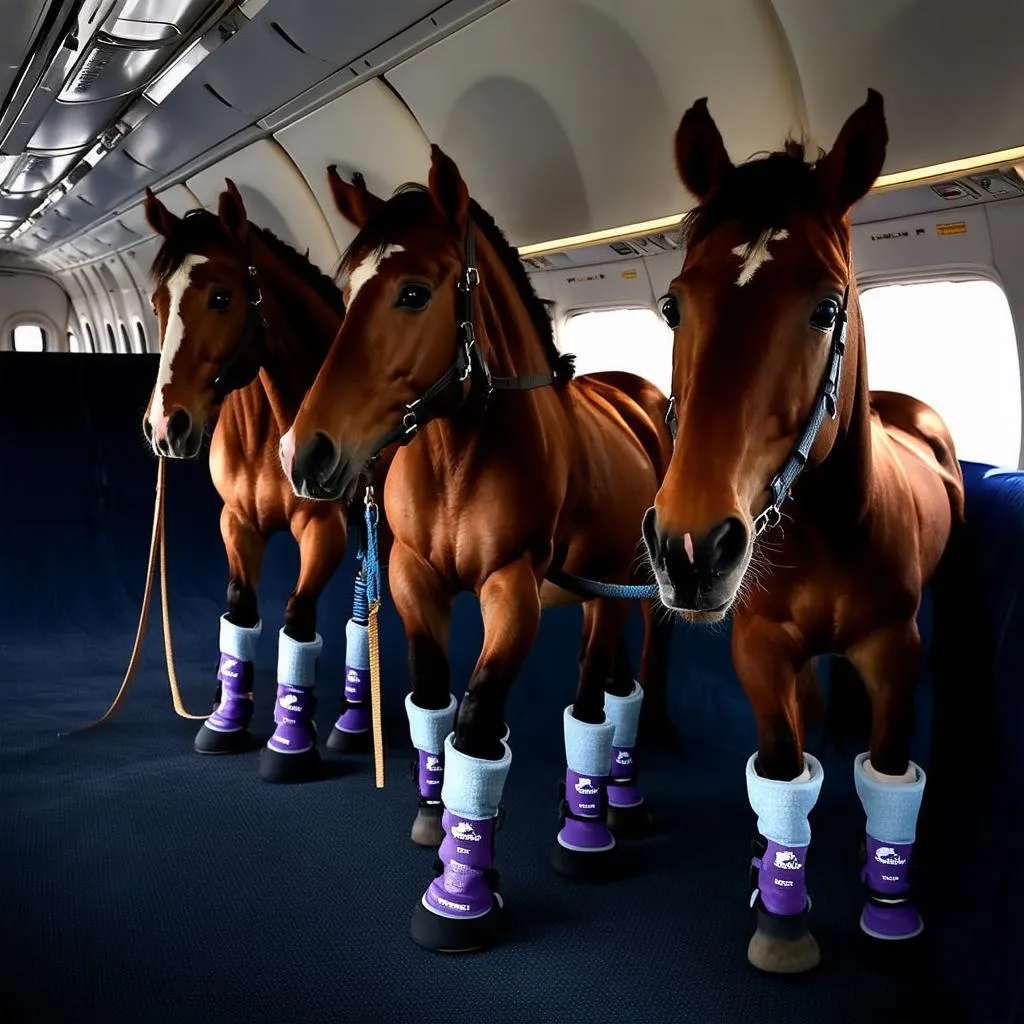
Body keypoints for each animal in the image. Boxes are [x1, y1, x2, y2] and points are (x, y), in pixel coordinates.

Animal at [140, 176, 387, 782]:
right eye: (158, 302)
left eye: (221, 297)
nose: (165, 426)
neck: (266, 428)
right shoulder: (237, 524)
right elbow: (240, 610)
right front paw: (226, 719)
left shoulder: (323, 529)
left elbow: (297, 618)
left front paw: (290, 740)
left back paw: (354, 720)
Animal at [282, 146, 679, 950]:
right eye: (348, 288)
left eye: (412, 292)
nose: (307, 453)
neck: (459, 456)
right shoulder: (412, 577)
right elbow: (433, 698)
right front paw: (435, 814)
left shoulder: (512, 588)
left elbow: (475, 718)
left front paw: (460, 891)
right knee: (611, 683)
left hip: (613, 587)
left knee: (601, 693)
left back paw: (597, 822)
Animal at [643, 92, 978, 970]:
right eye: (673, 304)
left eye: (827, 307)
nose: (691, 548)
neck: (829, 532)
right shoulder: (759, 651)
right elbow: (784, 766)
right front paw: (781, 913)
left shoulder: (895, 651)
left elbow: (889, 770)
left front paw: (889, 904)